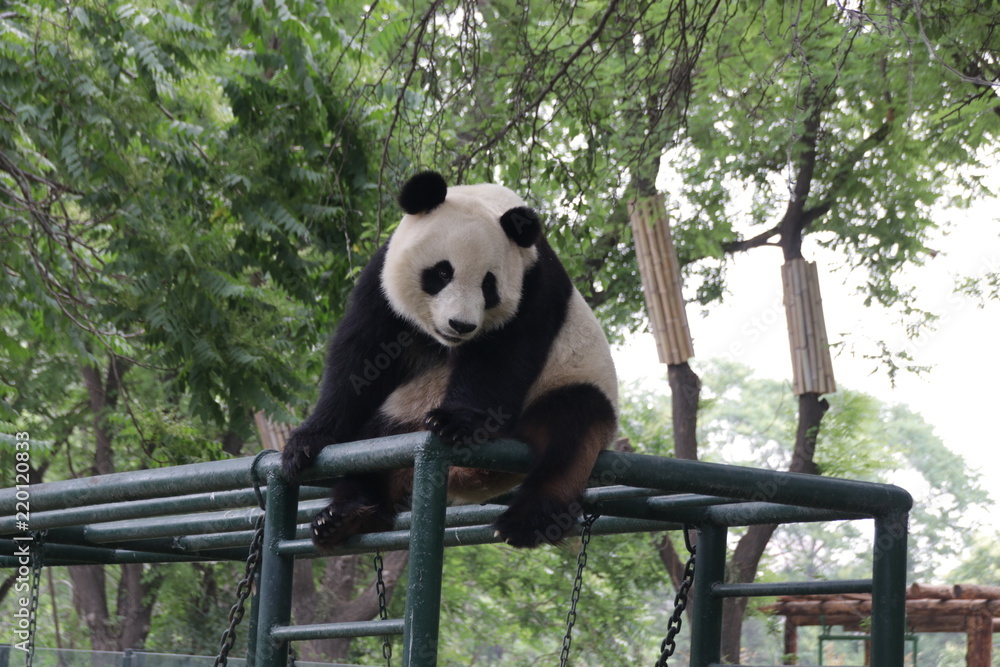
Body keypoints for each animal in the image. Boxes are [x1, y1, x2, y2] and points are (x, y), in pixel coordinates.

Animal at [281, 171, 618, 549]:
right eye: (442, 273)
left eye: (488, 285)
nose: (461, 325)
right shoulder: (381, 279)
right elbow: (361, 357)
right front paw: (305, 444)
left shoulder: (533, 287)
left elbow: (501, 358)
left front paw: (455, 422)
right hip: (406, 410)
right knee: (379, 443)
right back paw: (347, 516)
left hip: (571, 381)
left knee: (571, 430)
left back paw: (527, 522)